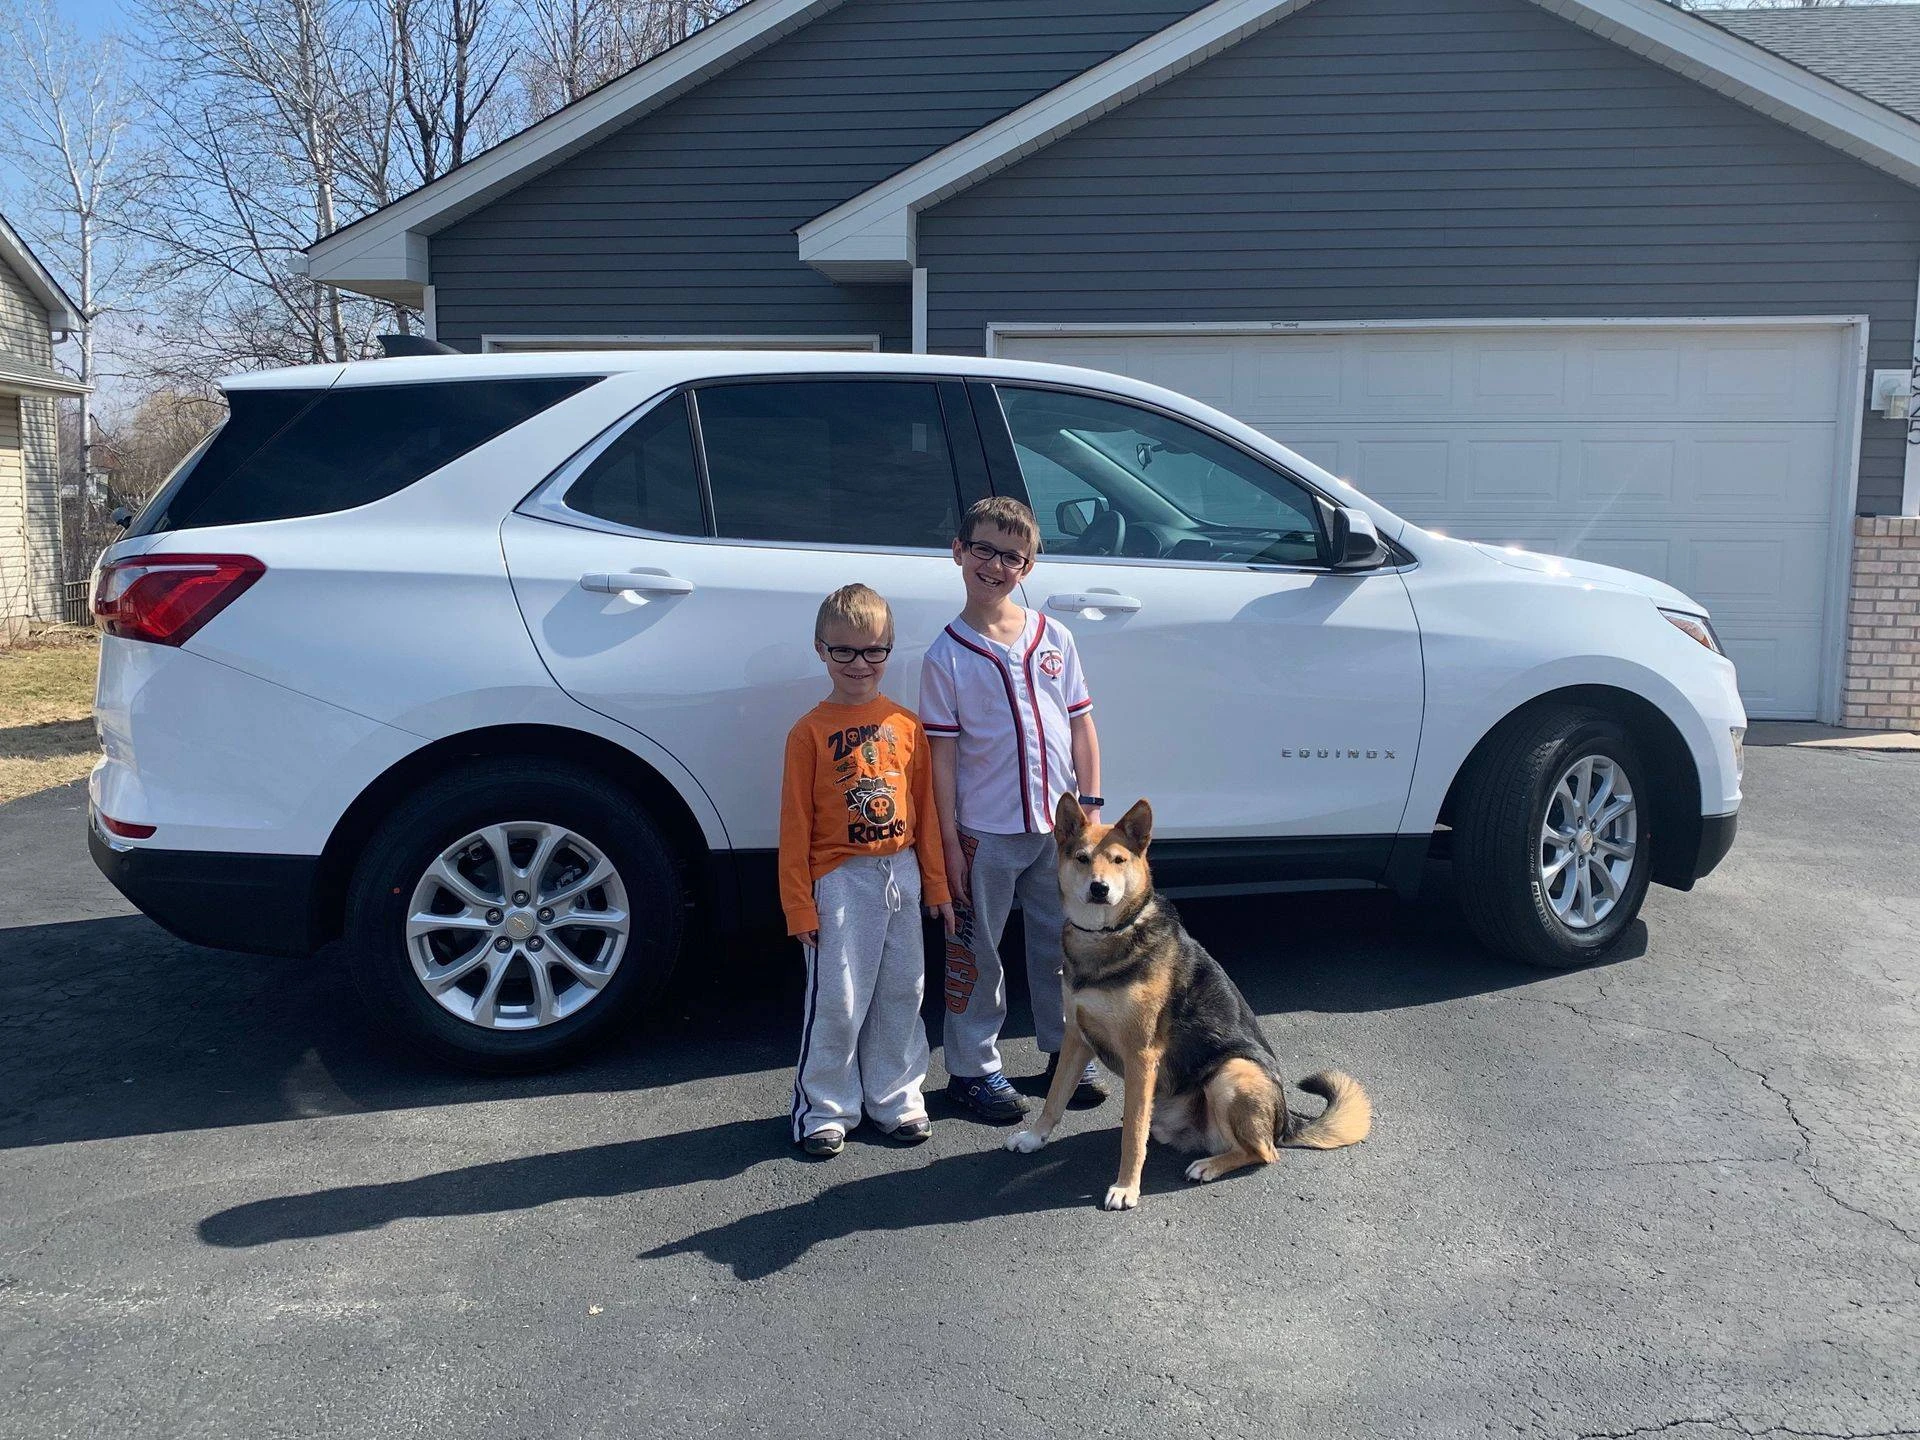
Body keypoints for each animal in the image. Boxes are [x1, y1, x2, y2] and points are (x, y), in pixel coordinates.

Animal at [1005, 794, 1371, 1210]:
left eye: (1118, 860)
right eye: (1082, 858)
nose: (1099, 889)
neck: (1108, 935)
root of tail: (1287, 1119)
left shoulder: (1141, 1055)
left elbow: (1132, 1135)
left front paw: (1127, 1186)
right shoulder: (1076, 1039)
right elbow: (1055, 1097)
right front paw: (1034, 1137)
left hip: (1232, 1073)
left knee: (1264, 1151)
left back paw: (1209, 1165)